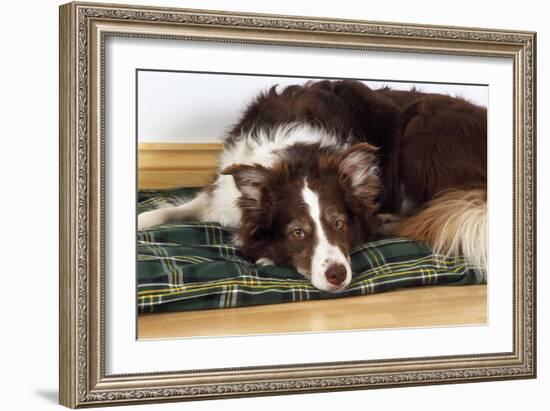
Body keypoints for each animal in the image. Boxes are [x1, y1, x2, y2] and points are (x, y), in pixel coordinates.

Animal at [137, 79, 488, 292]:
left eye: (340, 223)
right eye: (297, 232)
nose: (338, 274)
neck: (294, 157)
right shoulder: (222, 191)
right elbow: (178, 208)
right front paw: (144, 218)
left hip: (422, 127)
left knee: (434, 211)